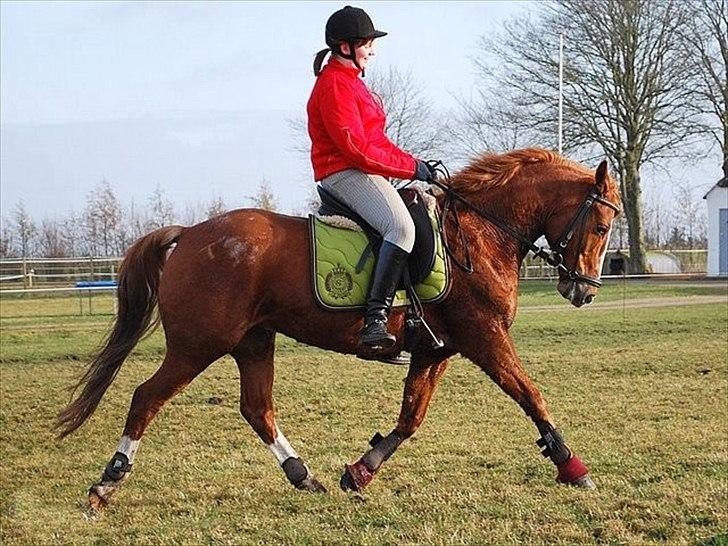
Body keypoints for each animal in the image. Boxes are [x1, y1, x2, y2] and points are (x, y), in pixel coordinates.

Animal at [59, 147, 624, 508]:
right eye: (600, 225)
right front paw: (572, 466)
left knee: (257, 409)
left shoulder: (435, 350)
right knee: (146, 398)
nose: (585, 291)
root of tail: (191, 233)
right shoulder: (484, 338)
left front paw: (360, 471)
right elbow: (530, 396)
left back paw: (303, 477)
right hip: (199, 345)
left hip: (253, 342)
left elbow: (409, 419)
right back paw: (106, 484)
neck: (481, 234)